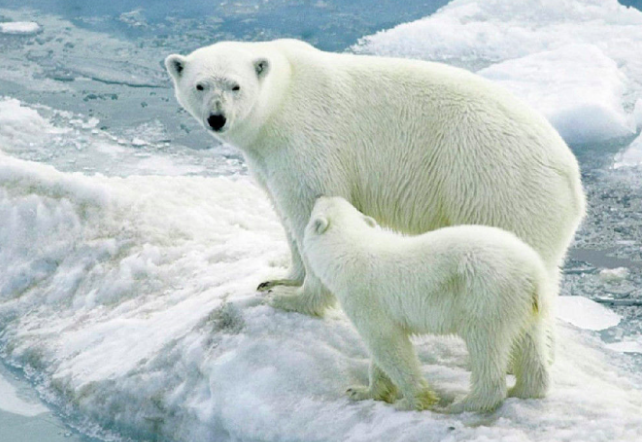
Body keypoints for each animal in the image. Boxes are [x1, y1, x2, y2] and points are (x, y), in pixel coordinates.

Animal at [164, 38, 580, 324]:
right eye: (200, 85)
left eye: (235, 86)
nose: (217, 118)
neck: (281, 99)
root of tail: (573, 180)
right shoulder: (266, 158)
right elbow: (283, 213)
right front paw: (279, 281)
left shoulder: (307, 141)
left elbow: (310, 205)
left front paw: (295, 300)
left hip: (497, 186)